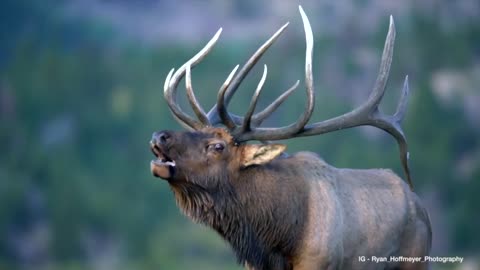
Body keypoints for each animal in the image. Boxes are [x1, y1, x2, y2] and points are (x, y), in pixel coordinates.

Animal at [149, 6, 432, 270]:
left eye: (218, 146)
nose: (159, 136)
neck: (279, 239)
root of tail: (422, 209)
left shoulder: (319, 262)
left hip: (415, 261)